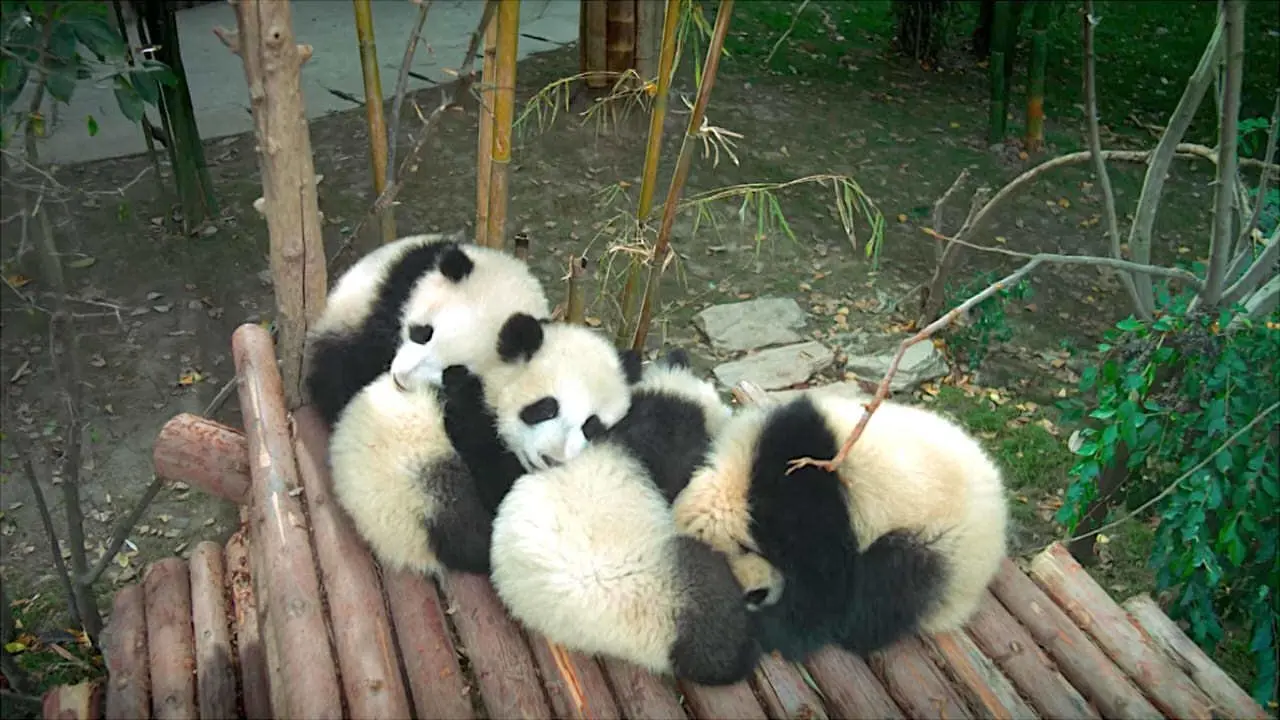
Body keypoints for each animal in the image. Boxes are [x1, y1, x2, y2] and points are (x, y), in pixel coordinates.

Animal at [671, 393, 1008, 662]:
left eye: (751, 594)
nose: (760, 596)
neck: (737, 483)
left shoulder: (806, 497)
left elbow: (825, 585)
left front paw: (772, 628)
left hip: (941, 539)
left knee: (890, 580)